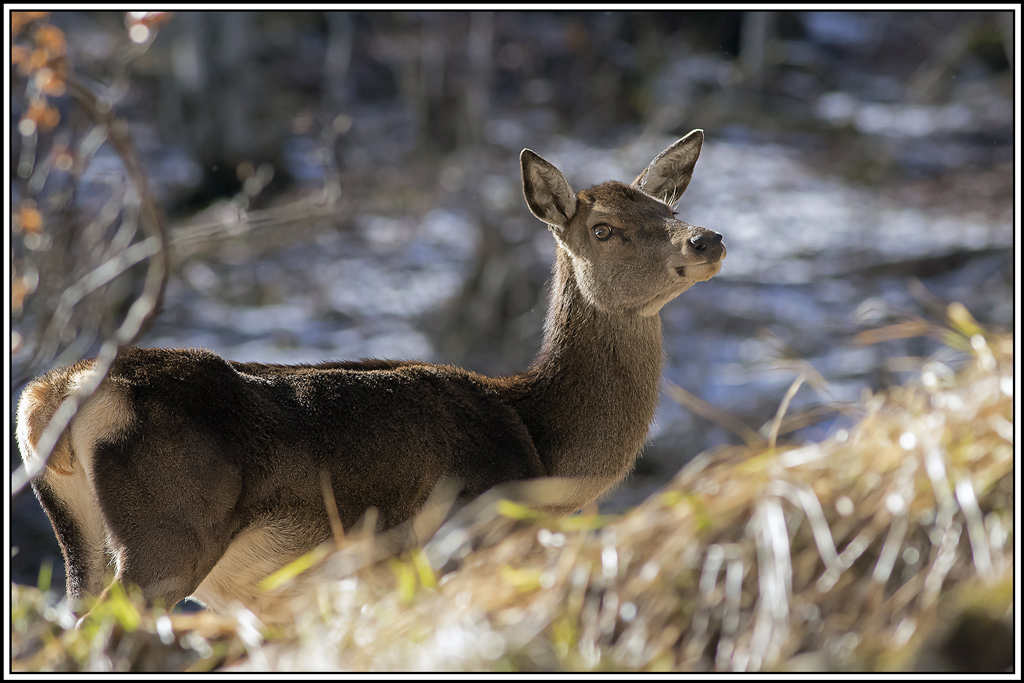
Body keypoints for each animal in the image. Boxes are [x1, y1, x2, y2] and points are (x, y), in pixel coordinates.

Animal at [17, 130, 725, 624]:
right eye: (603, 228)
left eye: (666, 208)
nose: (706, 239)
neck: (539, 448)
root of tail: (51, 394)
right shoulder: (456, 540)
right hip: (165, 541)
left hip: (80, 544)